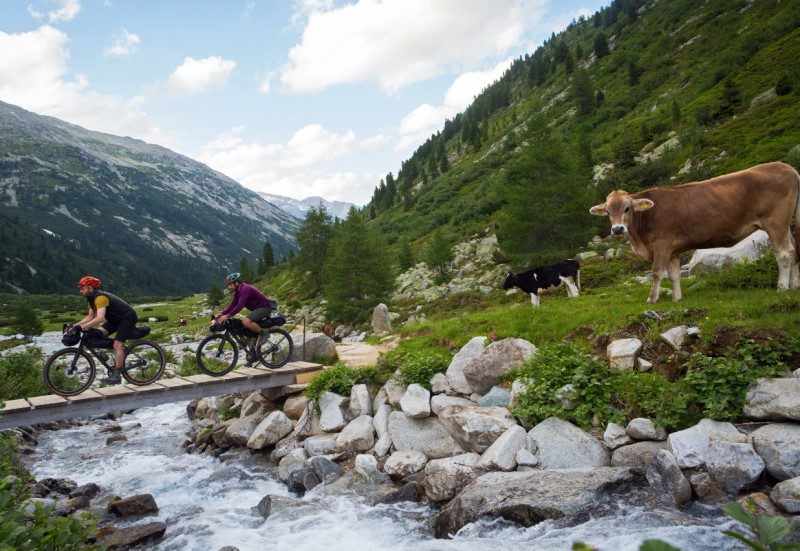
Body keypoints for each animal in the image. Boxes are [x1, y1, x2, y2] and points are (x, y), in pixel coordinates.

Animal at [588, 162, 800, 304]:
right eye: (608, 212)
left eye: (627, 208)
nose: (617, 229)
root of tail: (785, 166)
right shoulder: (672, 250)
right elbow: (674, 274)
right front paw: (676, 298)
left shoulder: (661, 244)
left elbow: (657, 272)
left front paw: (652, 298)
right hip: (785, 224)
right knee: (794, 250)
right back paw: (794, 285)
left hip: (775, 221)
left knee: (783, 253)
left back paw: (782, 288)